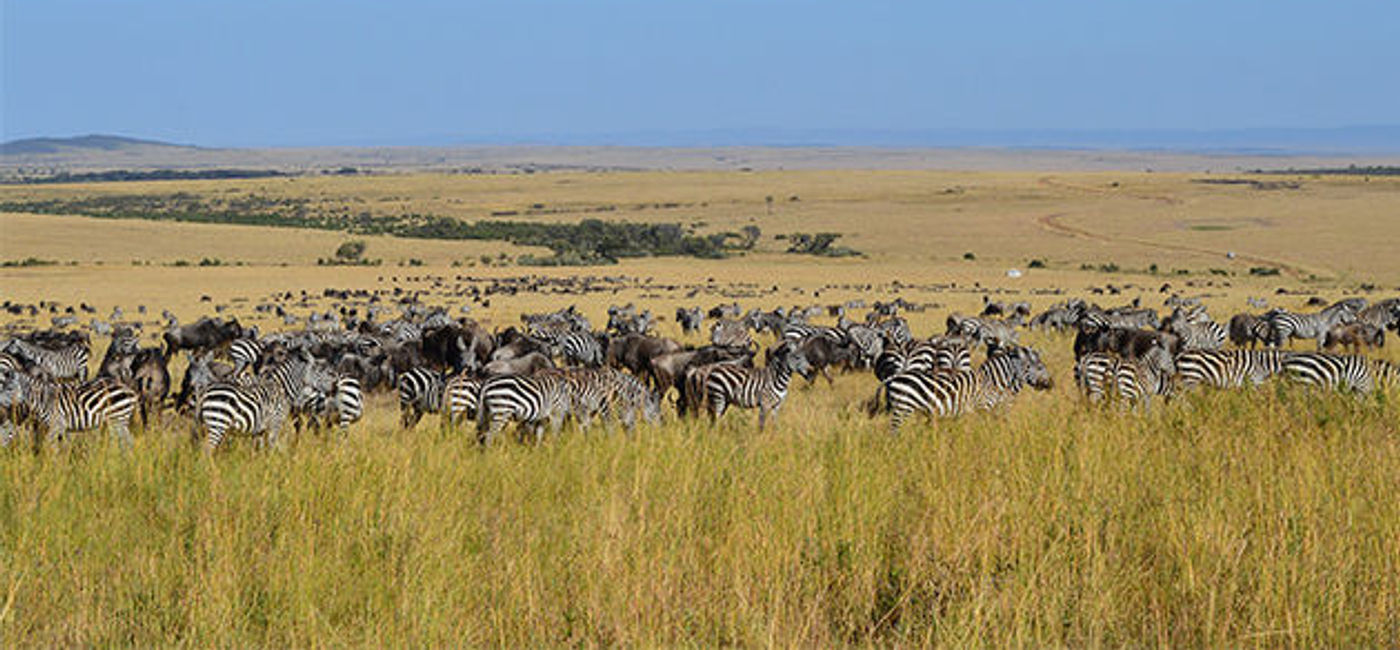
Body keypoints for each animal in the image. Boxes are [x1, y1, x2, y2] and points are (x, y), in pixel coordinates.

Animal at [0, 372, 137, 447]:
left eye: (9, 388)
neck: (43, 400)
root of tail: (130, 390)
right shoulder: (63, 429)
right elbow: (62, 447)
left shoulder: (57, 425)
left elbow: (50, 446)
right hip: (117, 422)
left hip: (118, 420)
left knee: (127, 442)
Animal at [883, 345, 1052, 433]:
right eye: (1040, 367)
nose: (1051, 385)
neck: (991, 381)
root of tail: (894, 378)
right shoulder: (984, 408)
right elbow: (985, 429)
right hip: (903, 408)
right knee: (894, 432)